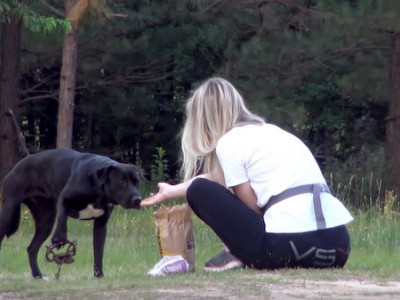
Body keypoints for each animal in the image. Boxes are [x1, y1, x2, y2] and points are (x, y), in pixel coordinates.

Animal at [0, 149, 143, 278]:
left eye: (136, 182)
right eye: (121, 181)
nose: (137, 199)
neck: (98, 192)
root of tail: (15, 167)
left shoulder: (100, 225)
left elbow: (98, 252)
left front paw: (99, 275)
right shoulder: (64, 198)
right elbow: (62, 218)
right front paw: (59, 238)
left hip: (45, 222)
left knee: (32, 249)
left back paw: (38, 275)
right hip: (8, 213)